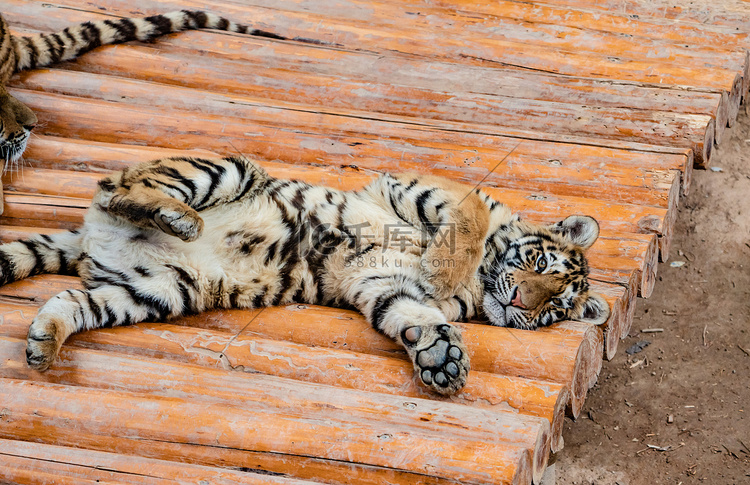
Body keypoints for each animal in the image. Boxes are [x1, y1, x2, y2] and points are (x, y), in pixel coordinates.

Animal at [1, 157, 612, 396]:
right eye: (538, 267)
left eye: (555, 307)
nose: (522, 304)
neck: (482, 285)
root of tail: (90, 239)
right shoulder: (423, 189)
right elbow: (468, 220)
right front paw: (441, 270)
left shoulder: (385, 286)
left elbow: (416, 317)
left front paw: (442, 360)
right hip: (221, 170)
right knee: (123, 184)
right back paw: (179, 218)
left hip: (155, 291)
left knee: (68, 300)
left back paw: (43, 344)